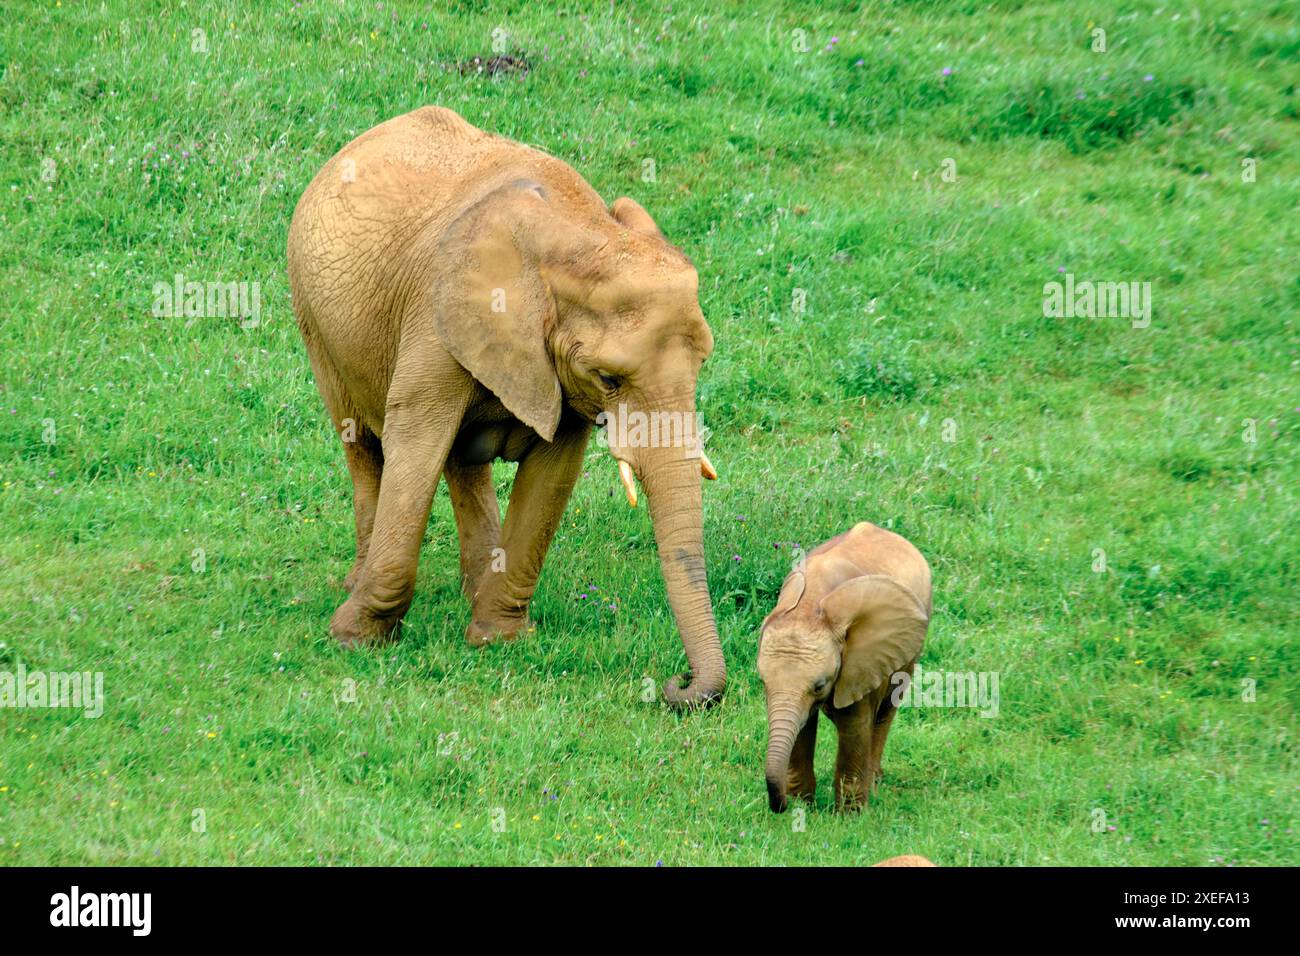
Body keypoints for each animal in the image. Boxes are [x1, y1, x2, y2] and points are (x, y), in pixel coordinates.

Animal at [288, 106, 728, 712]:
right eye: (610, 379)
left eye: (703, 361)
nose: (678, 683)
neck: (576, 235)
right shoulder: (436, 321)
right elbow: (414, 443)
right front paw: (354, 639)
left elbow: (553, 474)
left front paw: (498, 640)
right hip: (314, 319)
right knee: (363, 443)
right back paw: (360, 584)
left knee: (459, 462)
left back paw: (474, 587)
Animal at [759, 522, 930, 816]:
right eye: (762, 683)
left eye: (820, 686)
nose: (780, 806)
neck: (808, 607)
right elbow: (802, 728)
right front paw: (802, 805)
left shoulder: (861, 663)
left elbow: (854, 727)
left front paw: (849, 817)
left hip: (908, 652)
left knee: (885, 712)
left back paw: (874, 785)